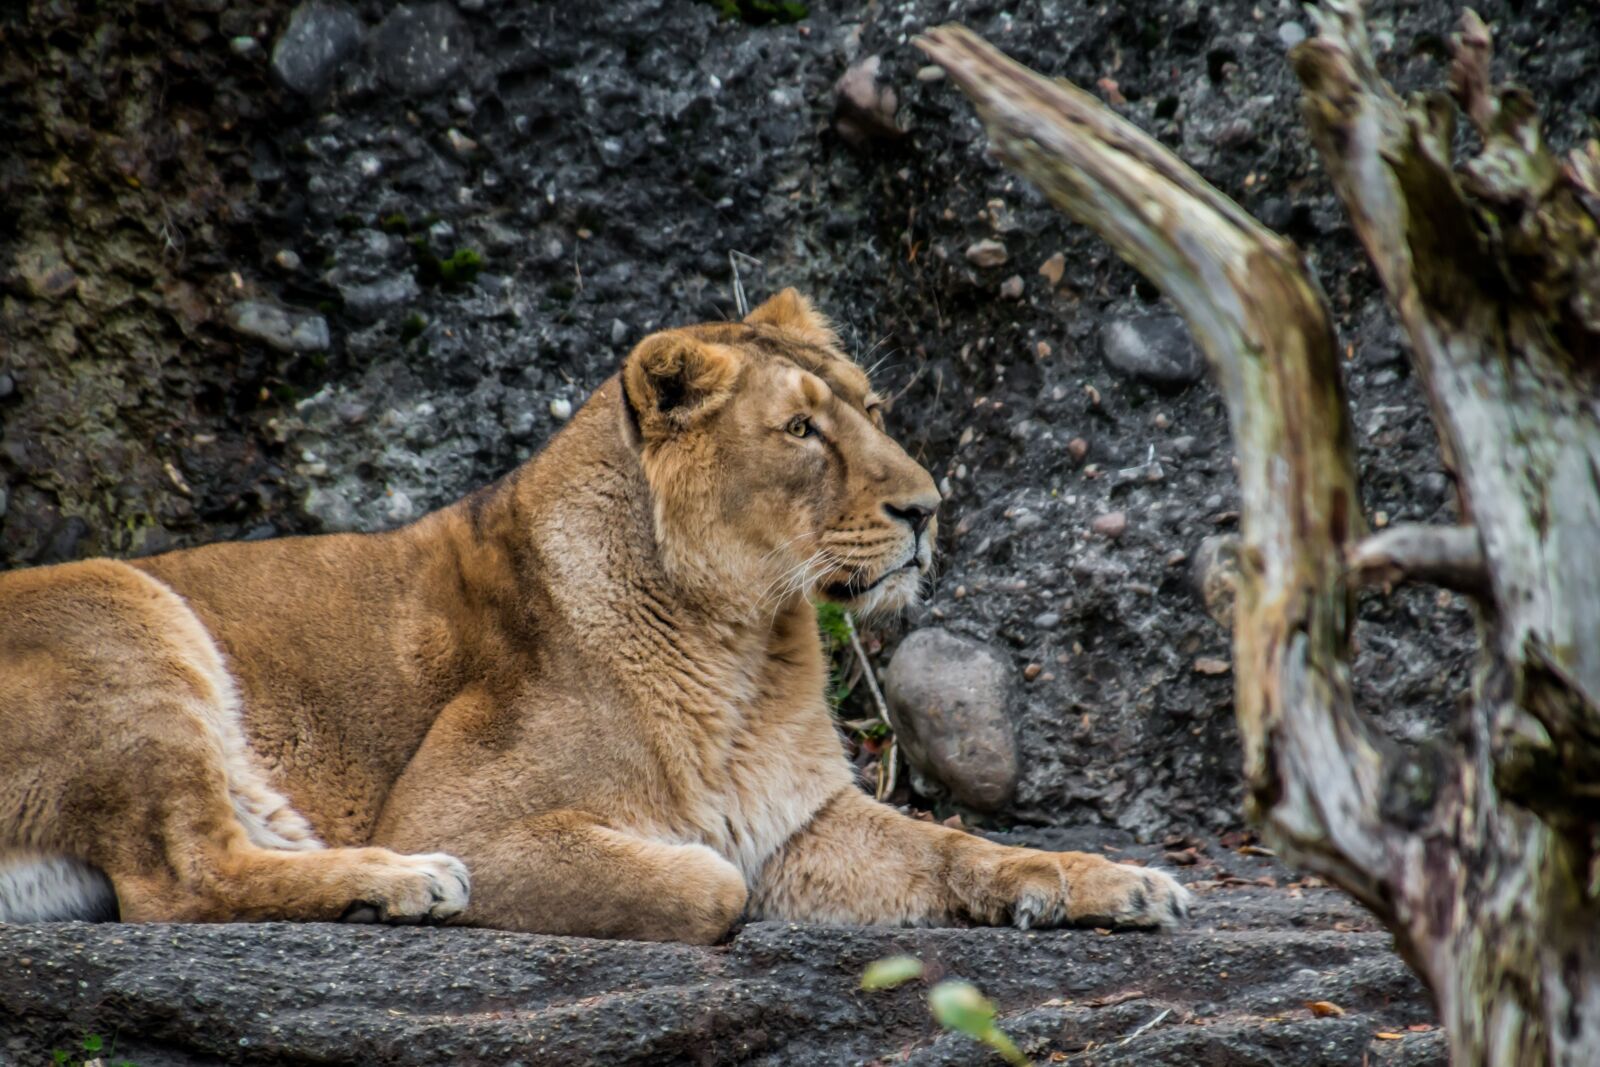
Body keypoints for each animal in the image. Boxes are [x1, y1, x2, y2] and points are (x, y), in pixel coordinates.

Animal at [0, 290, 1190, 940]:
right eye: (801, 430)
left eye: (874, 408)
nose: (928, 507)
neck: (747, 644)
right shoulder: (462, 811)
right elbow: (710, 881)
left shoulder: (801, 817)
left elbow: (957, 846)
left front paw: (1107, 883)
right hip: (119, 606)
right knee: (180, 880)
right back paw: (402, 885)